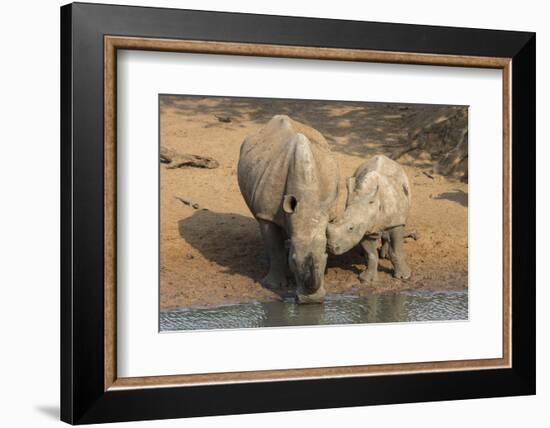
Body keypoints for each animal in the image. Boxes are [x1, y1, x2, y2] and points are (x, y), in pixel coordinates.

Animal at [238, 113, 338, 302]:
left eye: (326, 257)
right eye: (293, 260)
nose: (312, 301)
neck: (307, 197)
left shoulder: (327, 212)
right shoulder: (266, 214)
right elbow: (274, 245)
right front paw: (273, 286)